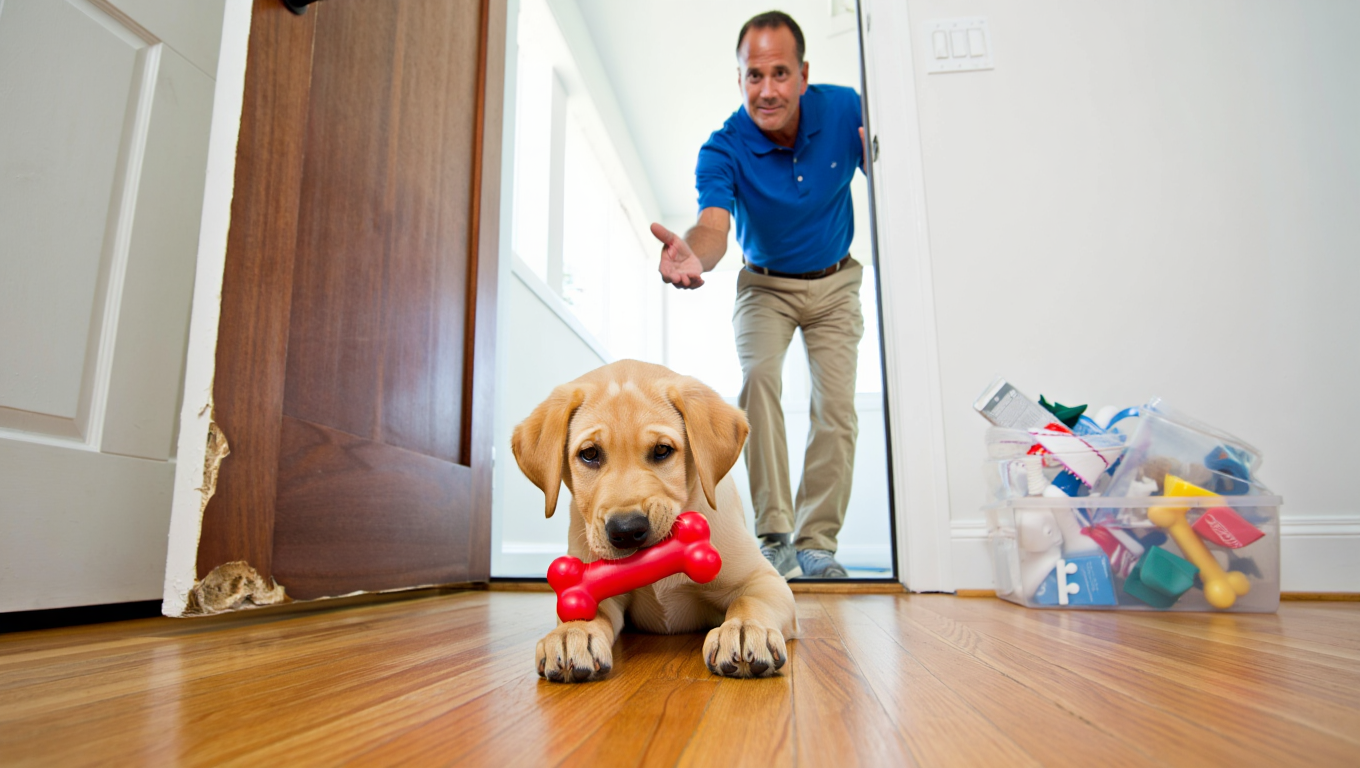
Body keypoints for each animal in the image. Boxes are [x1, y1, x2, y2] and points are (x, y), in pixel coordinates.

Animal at [511, 359, 798, 683]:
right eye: (589, 454)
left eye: (662, 450)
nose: (626, 530)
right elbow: (585, 609)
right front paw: (572, 632)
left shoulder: (764, 579)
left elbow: (748, 601)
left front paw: (745, 629)